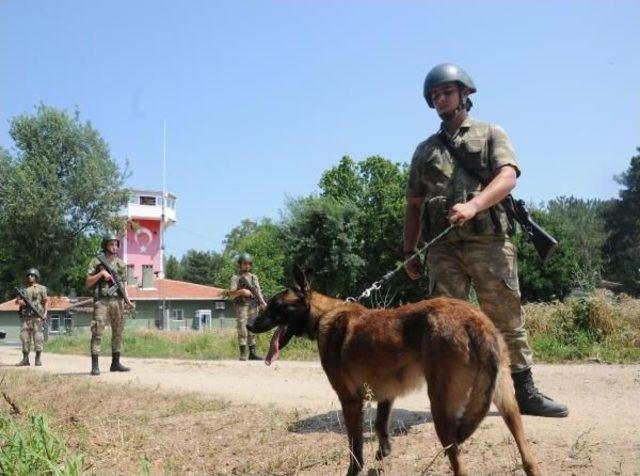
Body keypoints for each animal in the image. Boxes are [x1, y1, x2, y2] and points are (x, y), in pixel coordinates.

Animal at [248, 268, 544, 476]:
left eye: (275, 307)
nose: (250, 325)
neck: (324, 316)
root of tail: (474, 320)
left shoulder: (350, 401)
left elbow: (355, 449)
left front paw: (355, 469)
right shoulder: (386, 393)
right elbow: (381, 426)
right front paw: (383, 455)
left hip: (441, 410)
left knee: (459, 465)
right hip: (507, 404)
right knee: (528, 457)